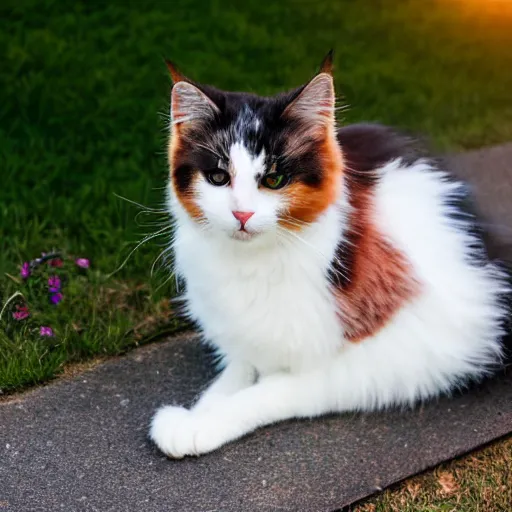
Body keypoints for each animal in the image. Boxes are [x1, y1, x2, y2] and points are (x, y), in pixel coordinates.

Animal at [150, 53, 510, 460]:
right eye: (217, 177)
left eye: (274, 180)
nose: (242, 214)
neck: (253, 264)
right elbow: (238, 369)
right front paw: (201, 410)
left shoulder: (394, 354)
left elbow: (271, 390)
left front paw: (201, 423)